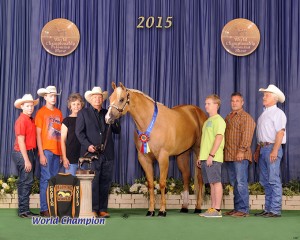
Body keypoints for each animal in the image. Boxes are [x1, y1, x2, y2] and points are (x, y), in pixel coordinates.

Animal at [104, 81, 207, 217]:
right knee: (186, 176)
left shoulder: (163, 157)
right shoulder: (144, 159)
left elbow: (162, 183)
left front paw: (162, 210)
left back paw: (198, 208)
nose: (108, 118)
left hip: (199, 152)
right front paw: (151, 211)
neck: (151, 123)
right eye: (110, 98)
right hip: (182, 155)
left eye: (121, 99)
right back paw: (184, 207)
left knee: (200, 180)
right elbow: (151, 184)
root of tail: (198, 112)